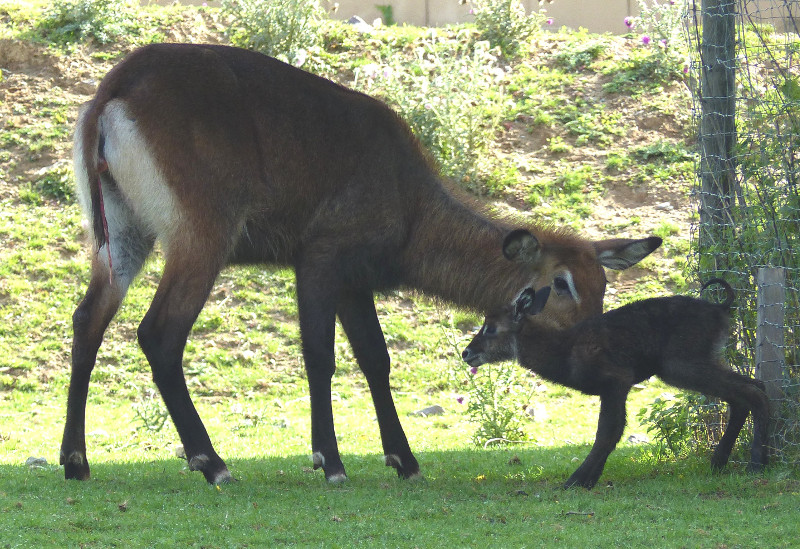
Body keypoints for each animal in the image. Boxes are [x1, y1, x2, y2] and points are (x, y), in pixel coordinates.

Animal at [64, 42, 664, 484]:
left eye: (601, 286)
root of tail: (119, 84)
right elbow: (320, 357)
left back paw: (76, 461)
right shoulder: (320, 262)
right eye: (561, 284)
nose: (596, 339)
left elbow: (376, 360)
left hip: (123, 236)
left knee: (88, 319)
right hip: (201, 236)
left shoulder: (355, 284)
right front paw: (330, 462)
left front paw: (403, 459)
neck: (410, 198)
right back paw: (211, 463)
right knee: (159, 333)